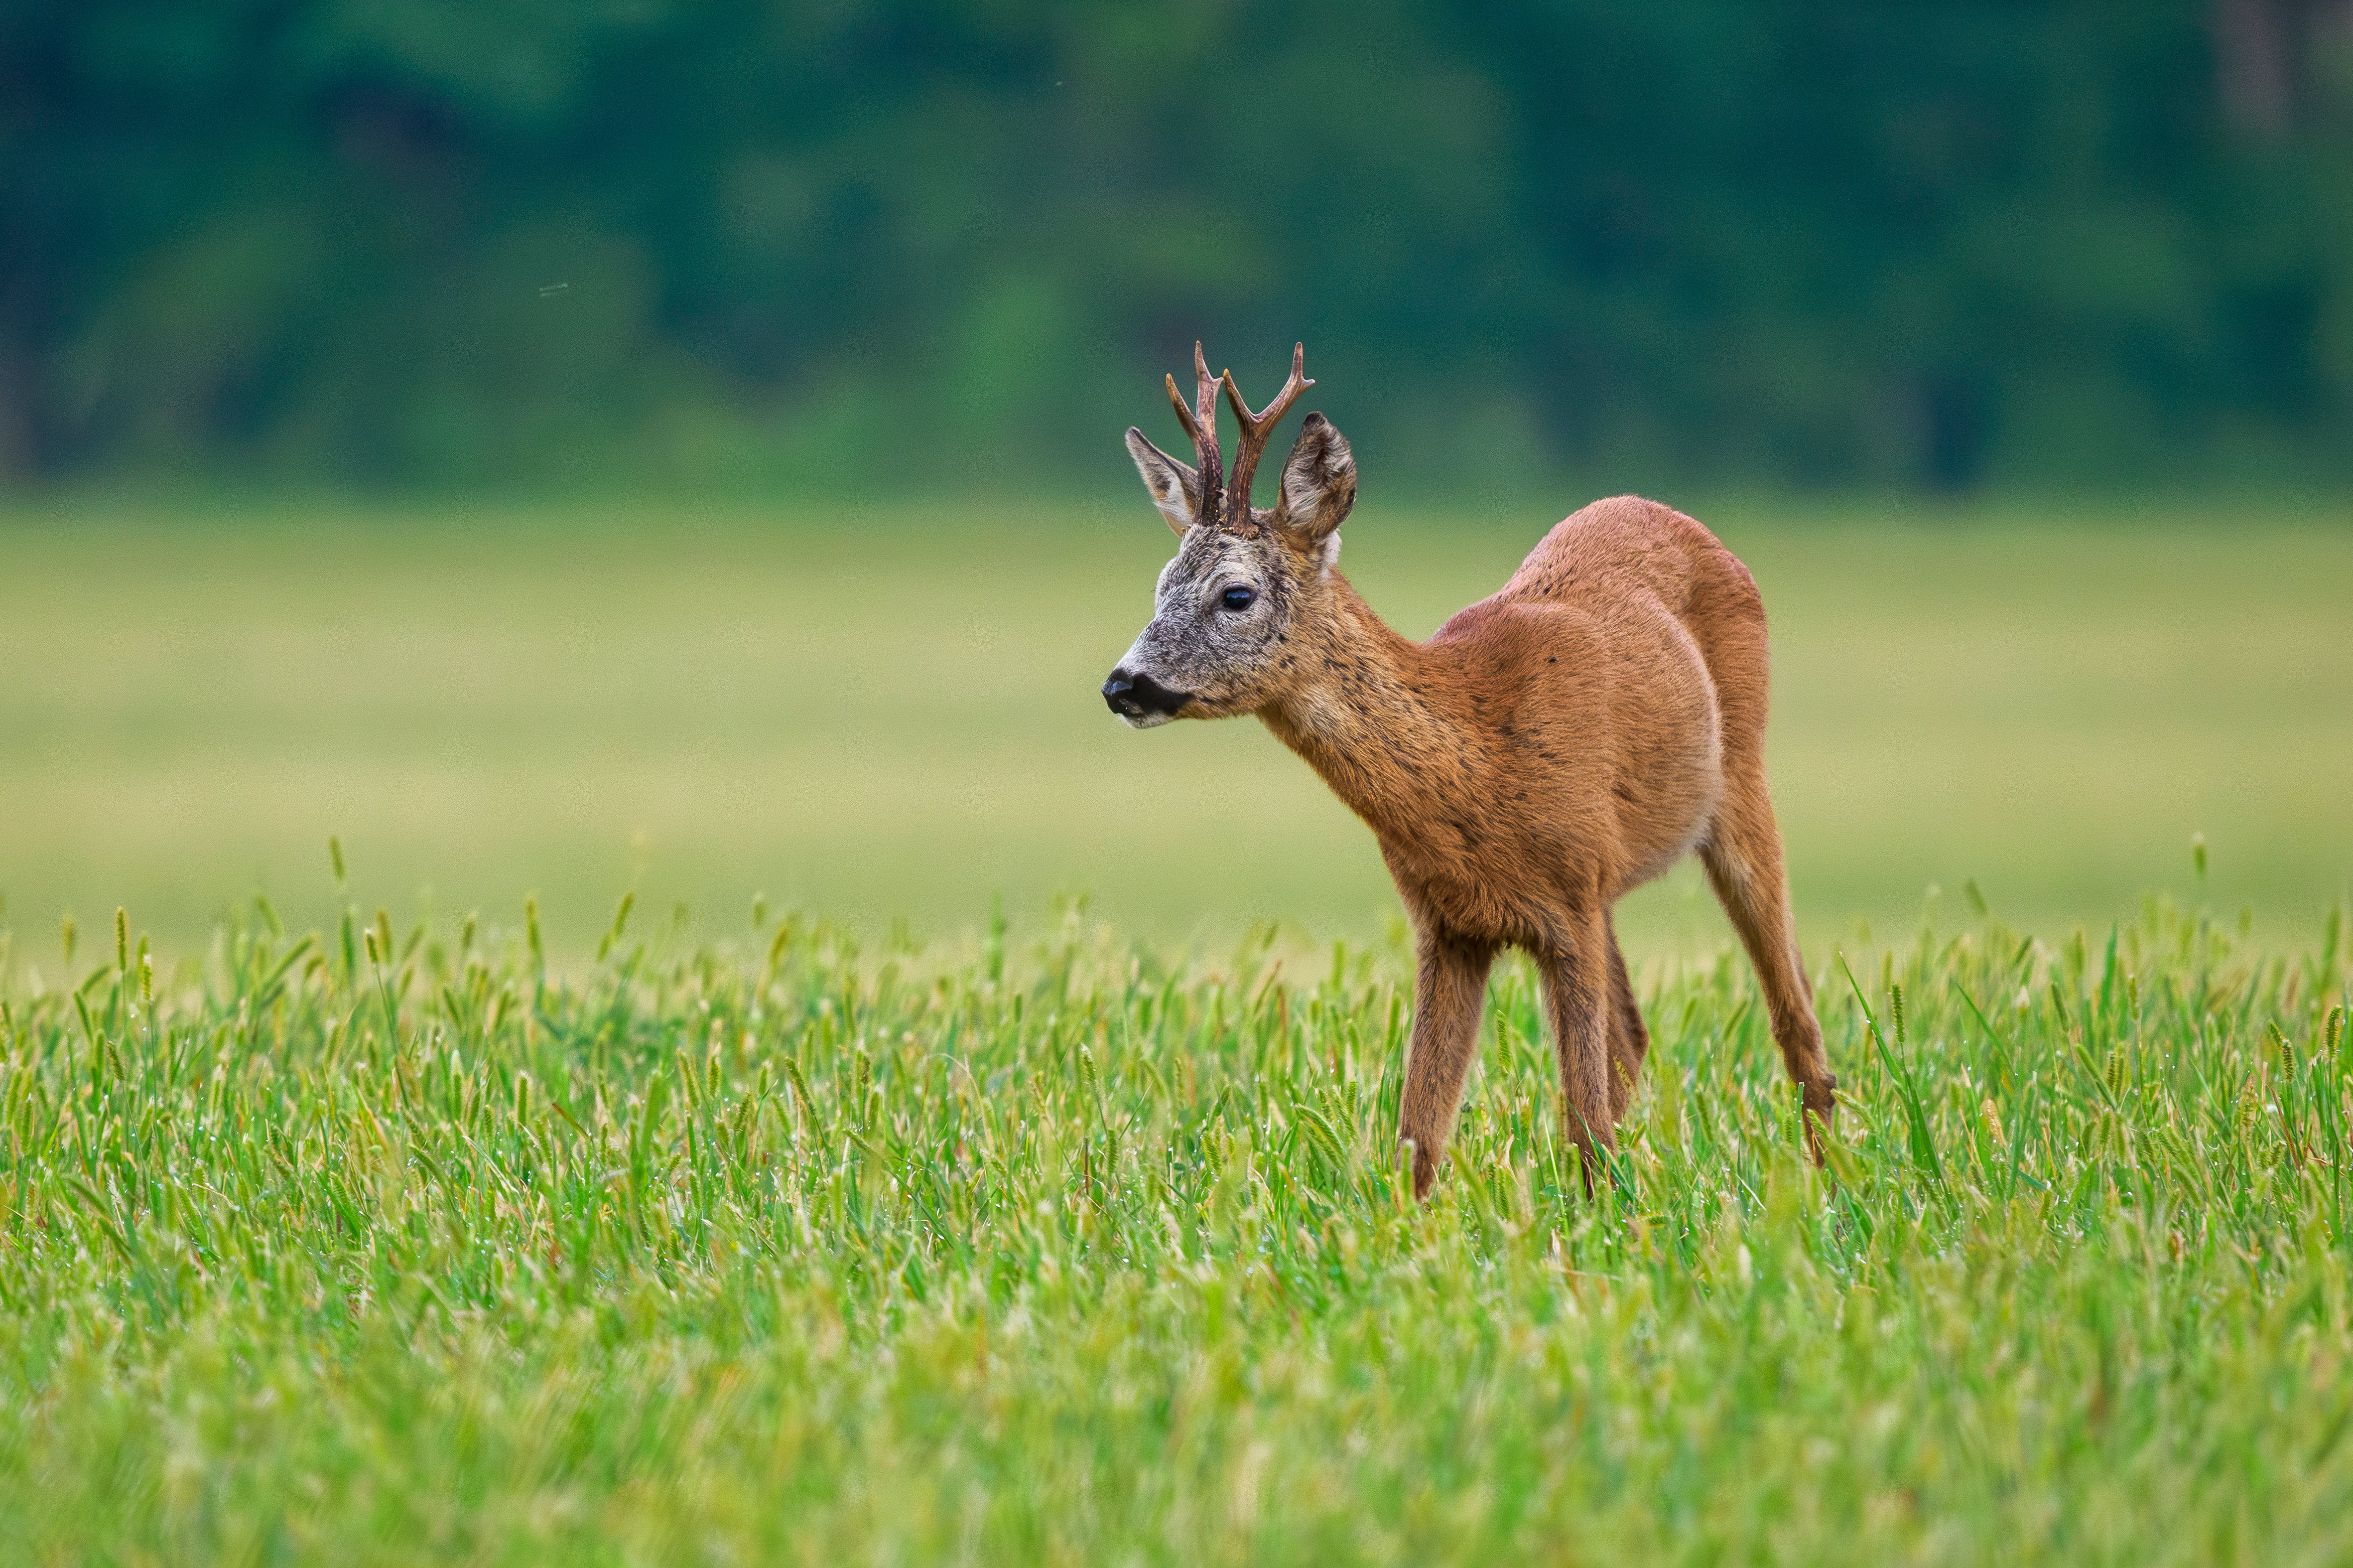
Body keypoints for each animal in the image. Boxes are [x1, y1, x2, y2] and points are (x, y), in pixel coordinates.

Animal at [1101, 345, 1835, 1203]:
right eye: (1159, 587)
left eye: (1237, 593)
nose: (1122, 684)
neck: (1481, 765)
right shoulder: (1450, 924)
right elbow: (1417, 1137)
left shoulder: (1568, 905)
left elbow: (1582, 1125)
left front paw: (1602, 1219)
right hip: (1612, 883)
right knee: (1636, 1035)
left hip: (1740, 784)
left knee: (1794, 1013)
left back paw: (1830, 1180)